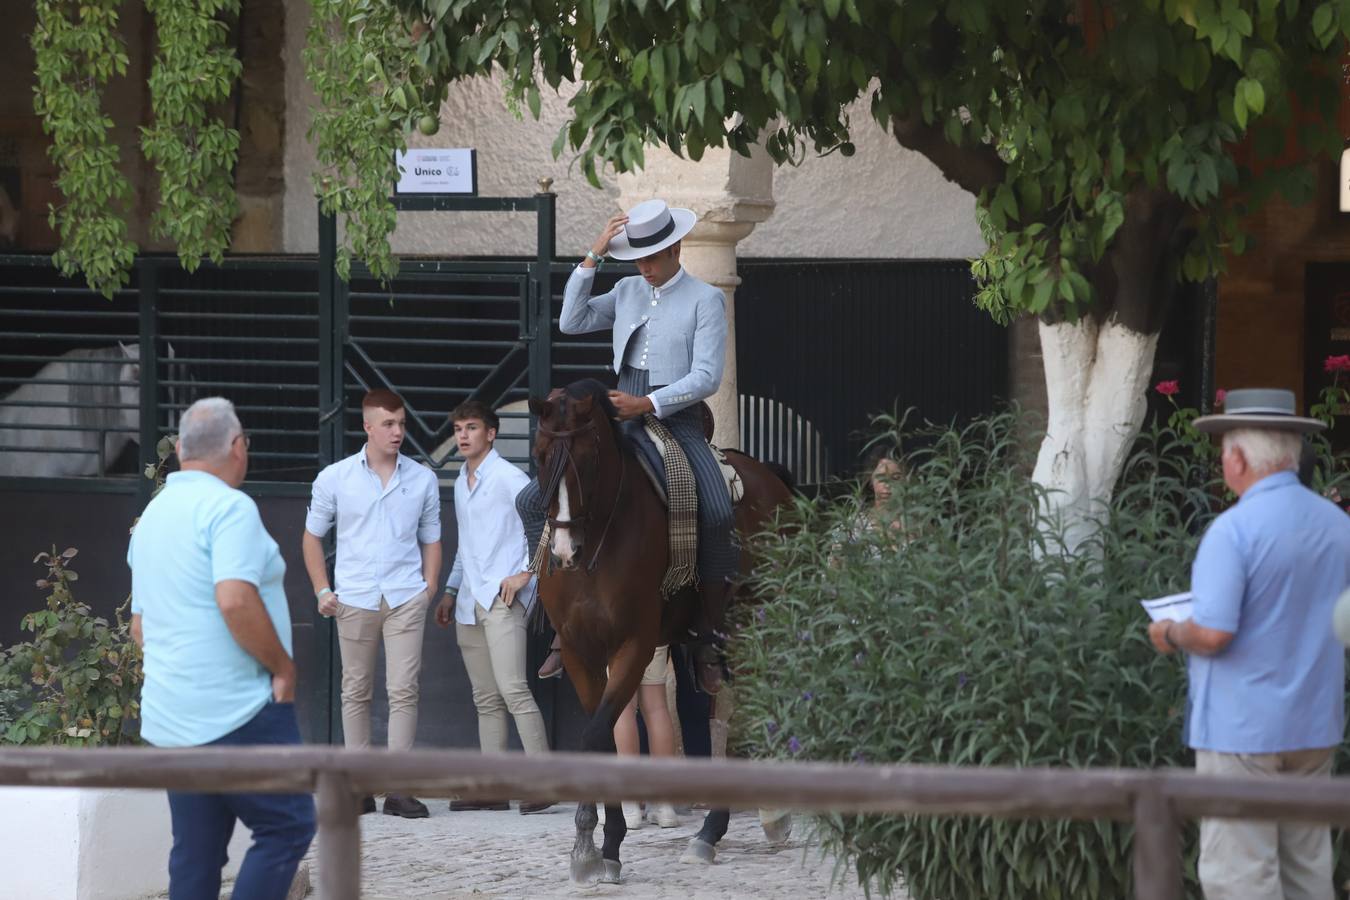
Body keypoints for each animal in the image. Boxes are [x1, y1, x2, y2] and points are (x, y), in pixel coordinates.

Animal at [526, 380, 793, 885]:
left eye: (589, 458)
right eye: (540, 454)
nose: (566, 552)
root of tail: (774, 482)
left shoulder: (635, 646)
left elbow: (596, 735)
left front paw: (594, 845)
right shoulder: (578, 651)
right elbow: (603, 740)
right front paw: (602, 844)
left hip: (756, 626)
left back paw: (715, 830)